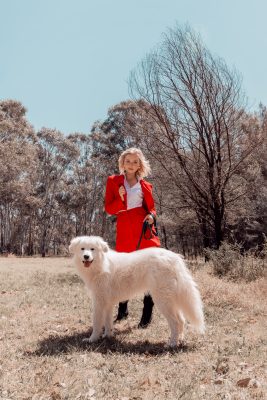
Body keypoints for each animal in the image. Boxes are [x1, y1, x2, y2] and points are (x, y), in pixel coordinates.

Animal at [69, 236, 205, 346]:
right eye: (82, 249)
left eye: (92, 249)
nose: (86, 256)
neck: (101, 265)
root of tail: (175, 257)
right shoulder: (108, 303)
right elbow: (108, 322)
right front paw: (107, 336)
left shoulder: (99, 301)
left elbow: (96, 323)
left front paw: (92, 339)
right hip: (170, 299)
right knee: (181, 320)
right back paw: (180, 340)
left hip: (162, 300)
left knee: (175, 322)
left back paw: (172, 344)